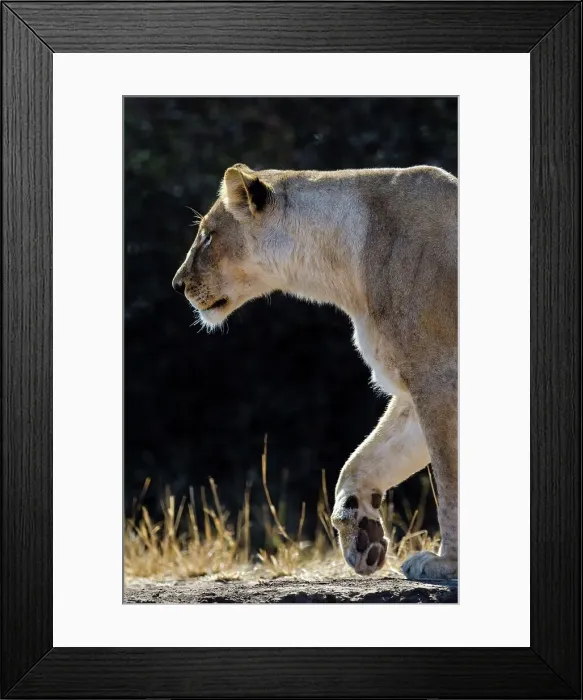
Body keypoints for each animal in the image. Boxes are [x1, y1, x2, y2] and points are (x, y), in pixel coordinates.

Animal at [172, 164, 458, 580]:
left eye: (208, 235)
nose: (177, 285)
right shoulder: (414, 390)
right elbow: (361, 462)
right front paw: (362, 537)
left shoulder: (438, 381)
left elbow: (450, 480)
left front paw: (446, 562)